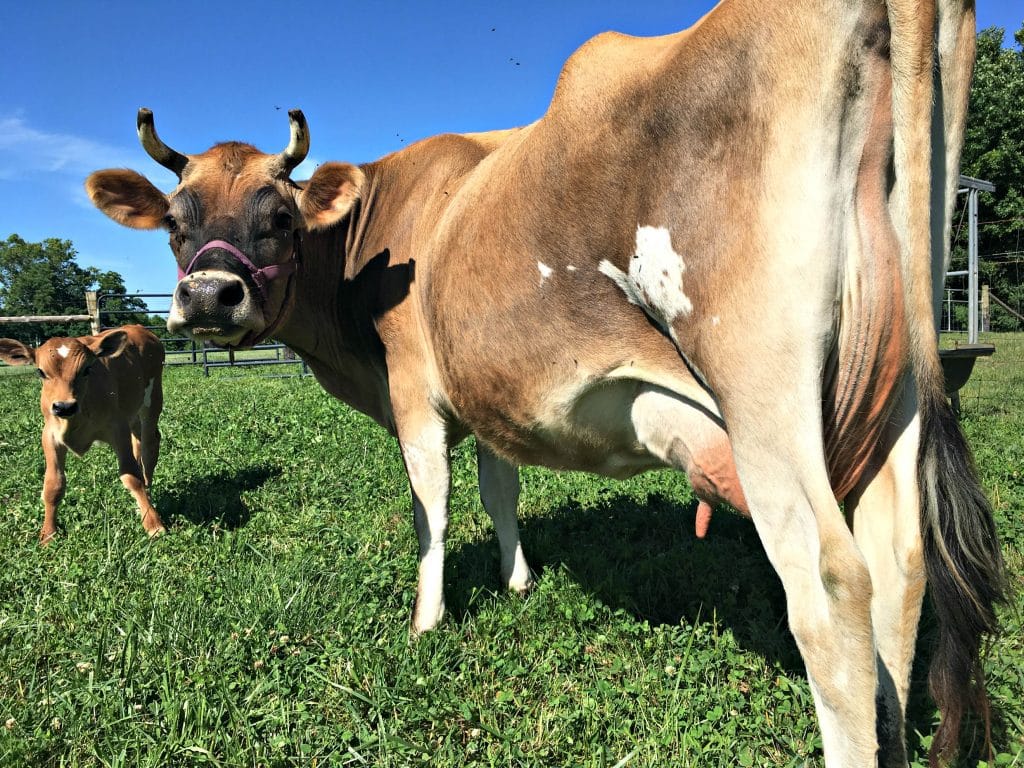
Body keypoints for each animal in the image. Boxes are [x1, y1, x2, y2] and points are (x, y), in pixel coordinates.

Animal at [1, 325, 165, 548]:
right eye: (41, 372)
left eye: (87, 369)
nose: (64, 406)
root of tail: (136, 327)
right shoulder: (50, 435)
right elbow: (53, 485)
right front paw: (48, 534)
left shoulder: (118, 428)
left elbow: (132, 477)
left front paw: (153, 524)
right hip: (132, 412)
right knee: (138, 444)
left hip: (152, 399)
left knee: (149, 446)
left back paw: (148, 491)